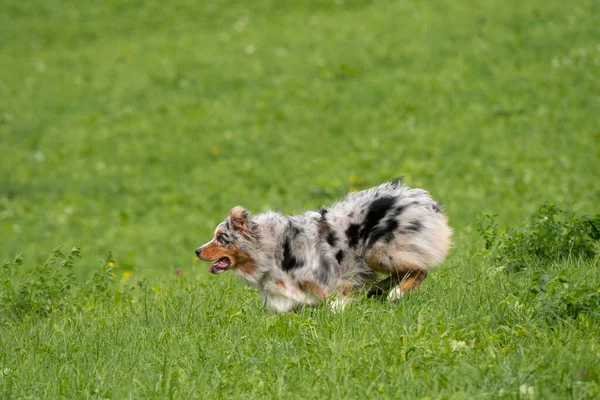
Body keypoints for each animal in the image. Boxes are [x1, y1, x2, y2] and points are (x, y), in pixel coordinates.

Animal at [195, 178, 452, 312]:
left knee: (419, 270)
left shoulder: (327, 281)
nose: (197, 251)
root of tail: (420, 198)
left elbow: (335, 303)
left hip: (379, 252)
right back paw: (376, 290)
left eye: (221, 238)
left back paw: (395, 293)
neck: (271, 247)